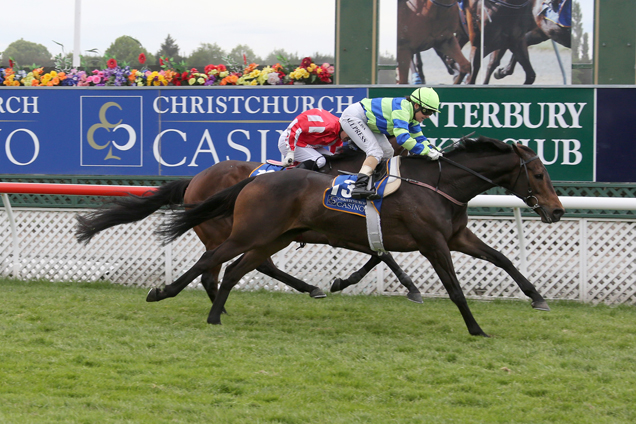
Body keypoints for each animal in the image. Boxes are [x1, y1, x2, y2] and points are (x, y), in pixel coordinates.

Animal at [74, 150, 422, 308]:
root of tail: (195, 179)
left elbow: (380, 254)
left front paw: (344, 280)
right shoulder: (338, 231)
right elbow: (384, 254)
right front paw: (411, 288)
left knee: (248, 265)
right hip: (232, 230)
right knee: (232, 265)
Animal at [155, 139, 568, 338]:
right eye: (539, 174)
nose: (557, 210)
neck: (439, 185)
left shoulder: (456, 236)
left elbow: (501, 257)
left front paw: (537, 297)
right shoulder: (432, 242)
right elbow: (452, 288)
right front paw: (476, 328)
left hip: (273, 237)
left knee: (234, 270)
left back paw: (217, 314)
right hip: (248, 232)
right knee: (212, 263)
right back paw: (164, 293)